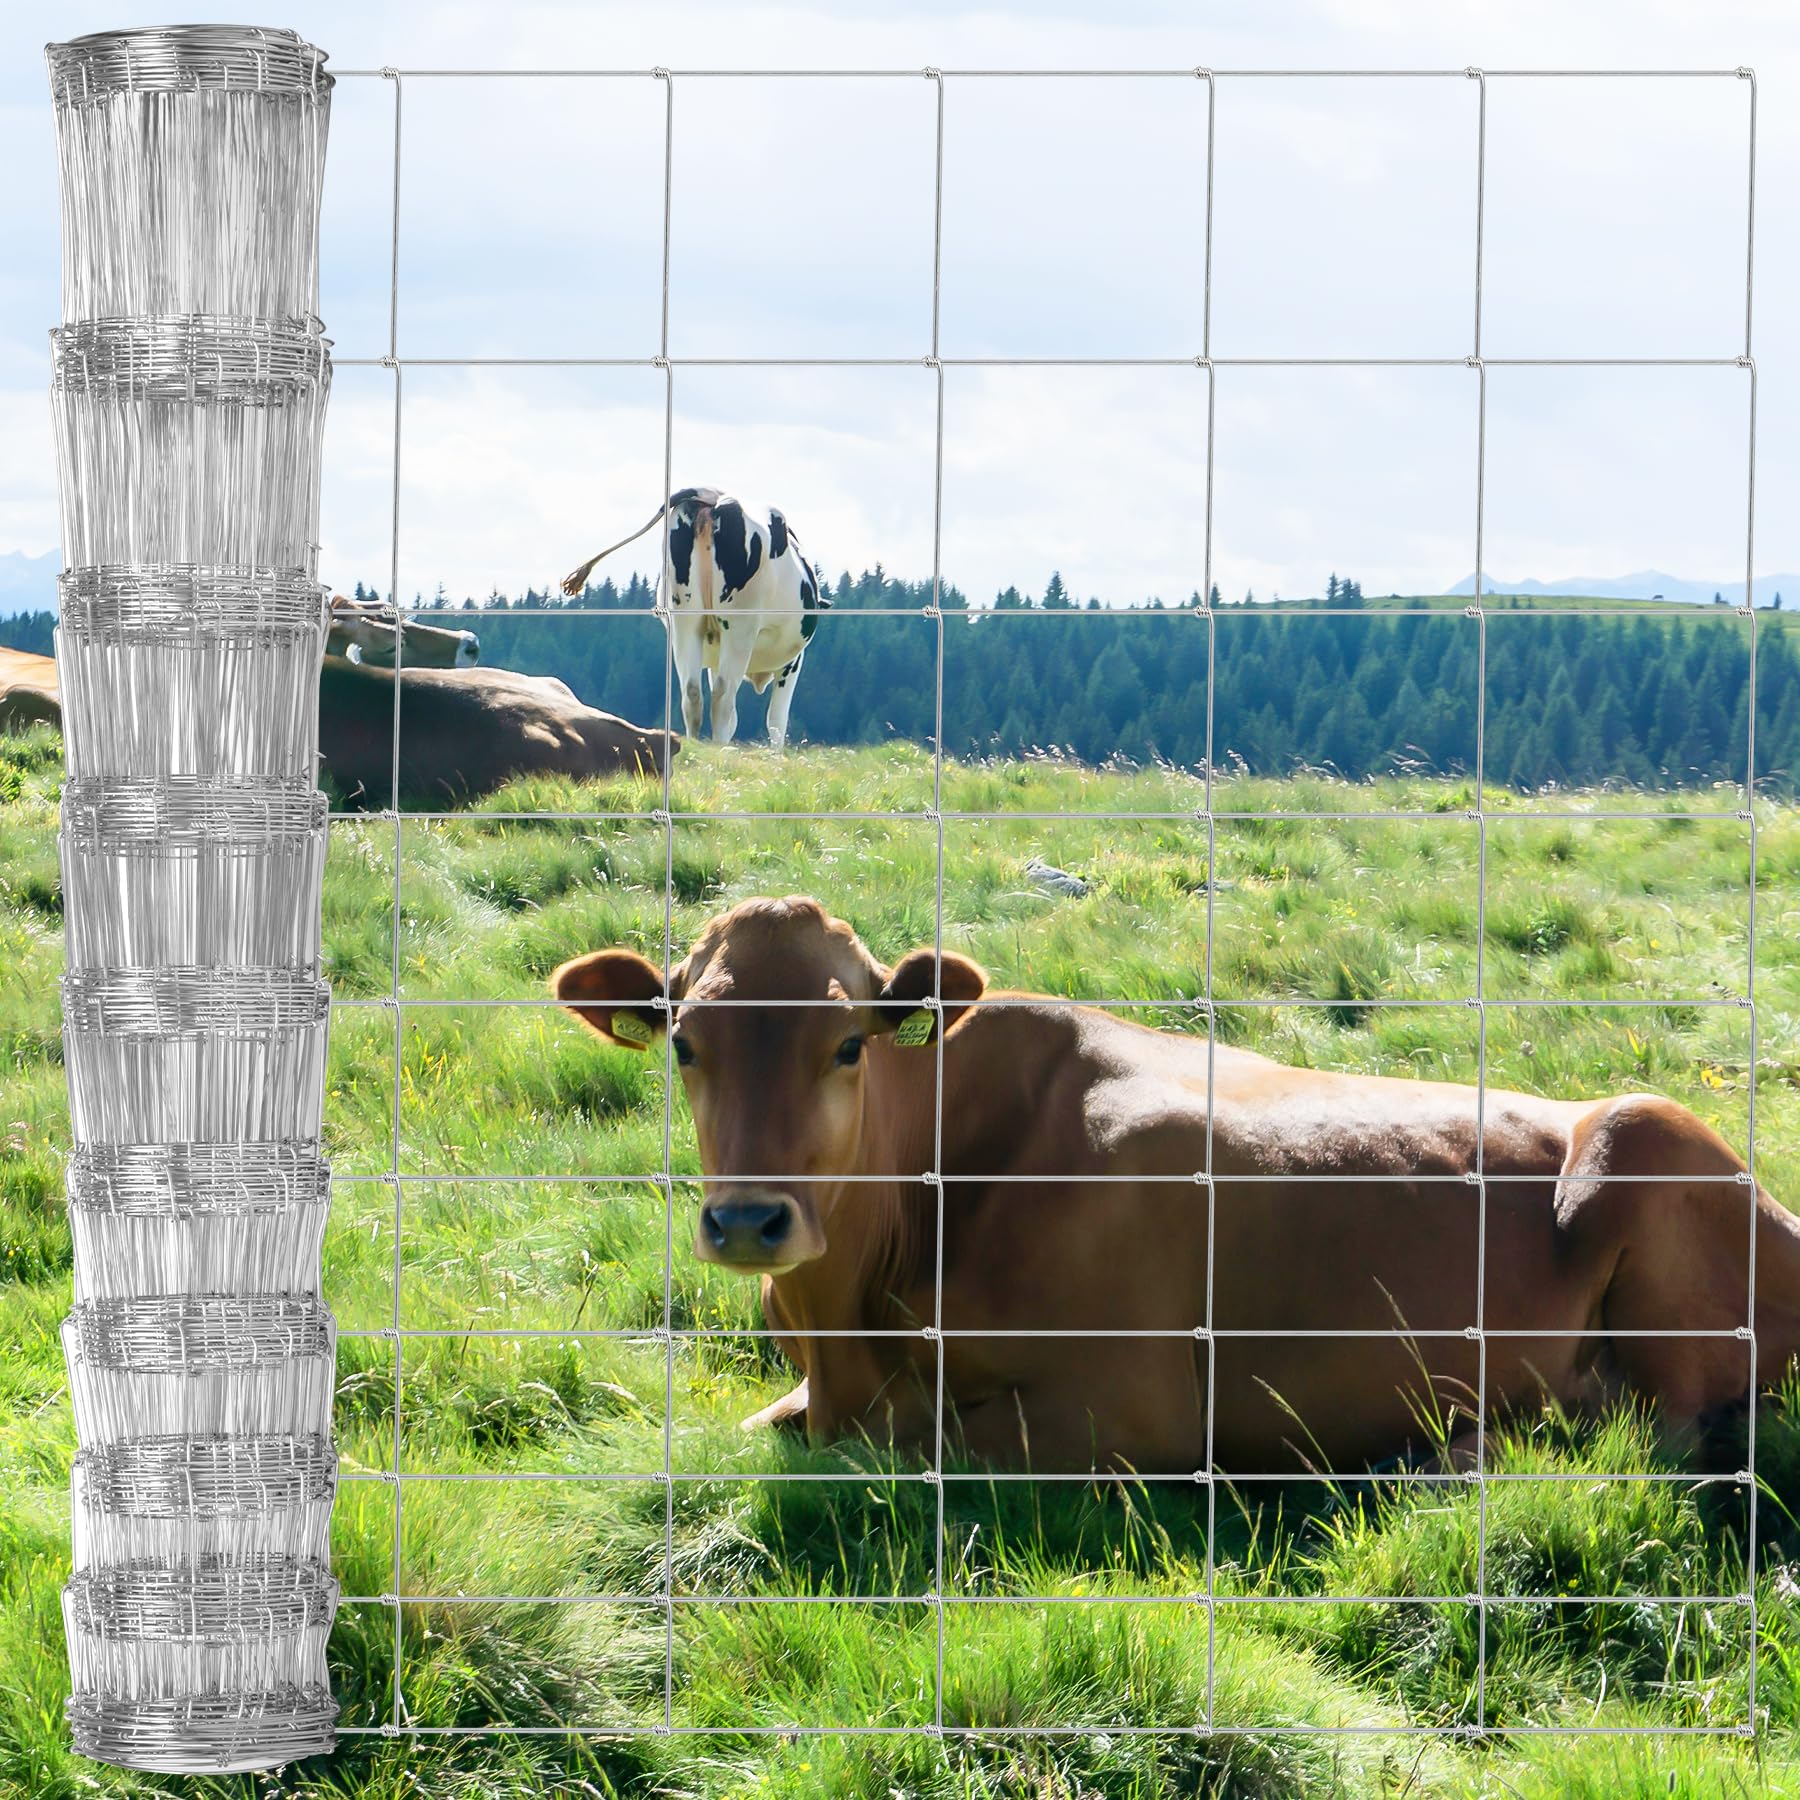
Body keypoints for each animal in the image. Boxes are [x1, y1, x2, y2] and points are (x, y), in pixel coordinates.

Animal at [552, 895, 1800, 1477]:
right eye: (683, 1044)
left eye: (851, 1044)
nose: (749, 1221)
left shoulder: (1135, 1408)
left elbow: (910, 1437)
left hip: (1642, 1136)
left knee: (1660, 1427)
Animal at [561, 487, 829, 749]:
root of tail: (713, 496)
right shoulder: (793, 662)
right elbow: (777, 720)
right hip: (740, 624)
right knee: (723, 695)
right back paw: (720, 748)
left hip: (685, 622)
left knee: (691, 693)